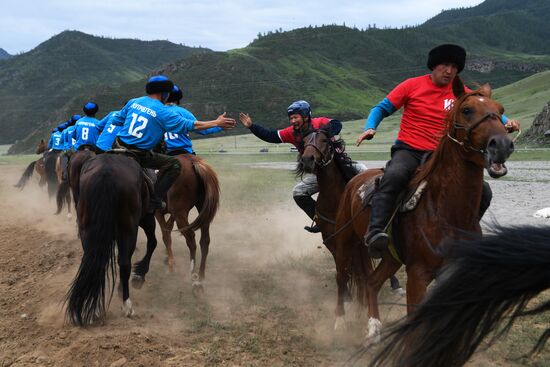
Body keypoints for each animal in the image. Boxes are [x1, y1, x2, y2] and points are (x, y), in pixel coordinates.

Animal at [155, 155, 220, 296]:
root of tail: (192, 161)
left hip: (180, 214)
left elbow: (165, 236)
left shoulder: (159, 212)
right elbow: (168, 230)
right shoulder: (171, 213)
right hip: (201, 212)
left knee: (191, 239)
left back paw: (194, 278)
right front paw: (168, 257)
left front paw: (171, 264)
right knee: (204, 241)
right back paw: (201, 276)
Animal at [332, 78, 516, 344]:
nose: (501, 145)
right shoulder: (418, 275)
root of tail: (355, 180)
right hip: (344, 242)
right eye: (467, 110)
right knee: (341, 277)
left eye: (501, 111)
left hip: (390, 257)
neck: (445, 211)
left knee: (372, 282)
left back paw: (374, 328)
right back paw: (339, 322)